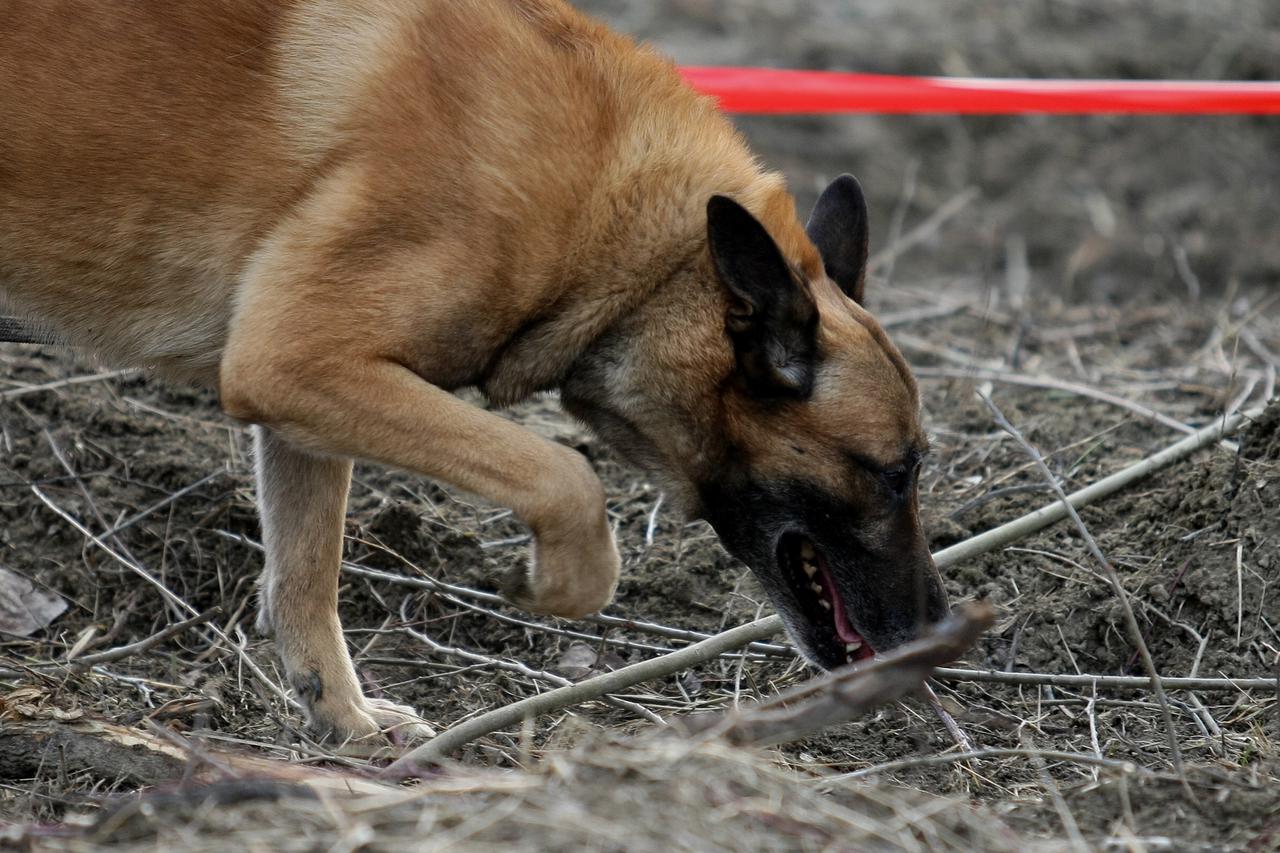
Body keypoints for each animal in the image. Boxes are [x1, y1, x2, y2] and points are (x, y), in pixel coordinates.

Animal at [2, 0, 952, 737]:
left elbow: (307, 573)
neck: (638, 238)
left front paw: (342, 718)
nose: (939, 630)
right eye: (895, 473)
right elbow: (565, 475)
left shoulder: (302, 405)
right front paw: (553, 584)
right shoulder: (297, 360)